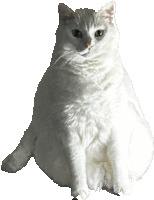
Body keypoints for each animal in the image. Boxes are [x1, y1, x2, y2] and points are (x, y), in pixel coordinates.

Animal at [1, 1, 154, 198]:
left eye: (99, 33)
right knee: (29, 137)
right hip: (41, 118)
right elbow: (77, 168)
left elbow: (119, 163)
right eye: (76, 33)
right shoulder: (70, 133)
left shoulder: (117, 127)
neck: (89, 75)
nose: (88, 44)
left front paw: (123, 187)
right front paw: (80, 191)